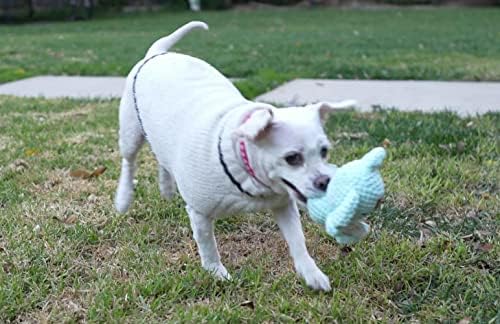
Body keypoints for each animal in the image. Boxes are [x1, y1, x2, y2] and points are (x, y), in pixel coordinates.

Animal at [114, 21, 356, 292]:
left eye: (324, 151)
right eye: (292, 158)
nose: (326, 182)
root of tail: (157, 53)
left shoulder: (283, 204)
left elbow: (298, 240)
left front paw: (311, 273)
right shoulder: (200, 213)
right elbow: (208, 246)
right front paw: (216, 272)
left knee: (163, 160)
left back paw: (166, 189)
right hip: (130, 133)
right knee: (129, 162)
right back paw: (123, 198)